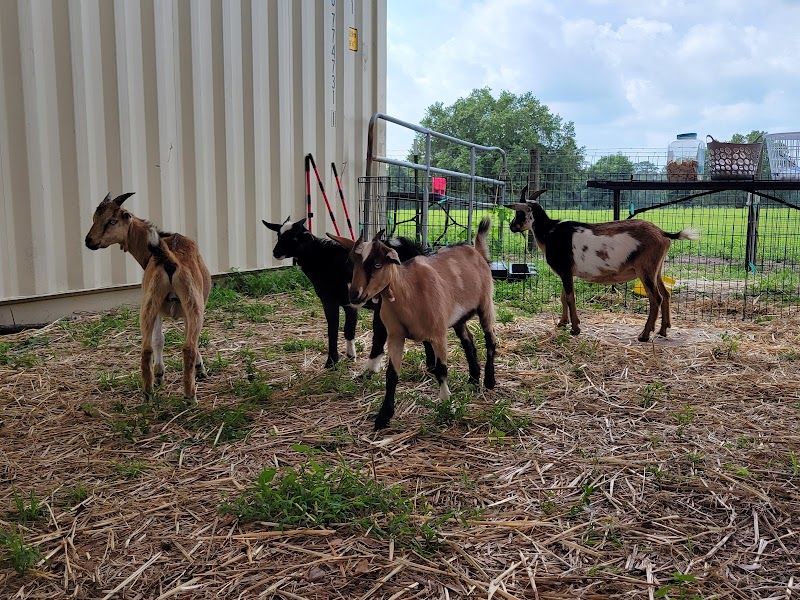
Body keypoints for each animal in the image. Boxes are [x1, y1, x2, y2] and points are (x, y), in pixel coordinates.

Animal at [85, 192, 212, 401]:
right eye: (95, 218)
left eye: (111, 221)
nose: (89, 241)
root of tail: (169, 260)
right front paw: (199, 368)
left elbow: (159, 339)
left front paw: (159, 376)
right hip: (192, 302)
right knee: (188, 347)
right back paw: (189, 395)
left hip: (150, 301)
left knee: (146, 348)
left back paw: (147, 393)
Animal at [262, 217, 435, 372]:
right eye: (278, 234)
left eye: (295, 237)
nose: (276, 252)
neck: (322, 258)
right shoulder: (349, 303)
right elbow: (349, 328)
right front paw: (351, 355)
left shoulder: (329, 300)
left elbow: (332, 329)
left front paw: (331, 362)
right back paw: (431, 366)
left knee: (381, 334)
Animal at [330, 216, 497, 430]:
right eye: (351, 263)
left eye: (377, 265)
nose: (354, 295)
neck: (410, 292)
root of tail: (477, 252)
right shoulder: (395, 335)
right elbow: (391, 375)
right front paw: (383, 416)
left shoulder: (438, 334)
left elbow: (441, 370)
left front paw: (446, 404)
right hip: (458, 318)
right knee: (469, 341)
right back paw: (473, 379)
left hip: (486, 304)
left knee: (490, 339)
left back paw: (489, 381)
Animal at [509, 186, 700, 342]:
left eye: (519, 213)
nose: (512, 227)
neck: (549, 232)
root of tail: (663, 233)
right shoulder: (567, 272)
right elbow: (563, 297)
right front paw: (562, 323)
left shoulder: (565, 271)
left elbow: (570, 298)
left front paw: (575, 328)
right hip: (656, 269)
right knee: (666, 294)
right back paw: (662, 330)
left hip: (645, 270)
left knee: (656, 298)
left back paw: (644, 335)